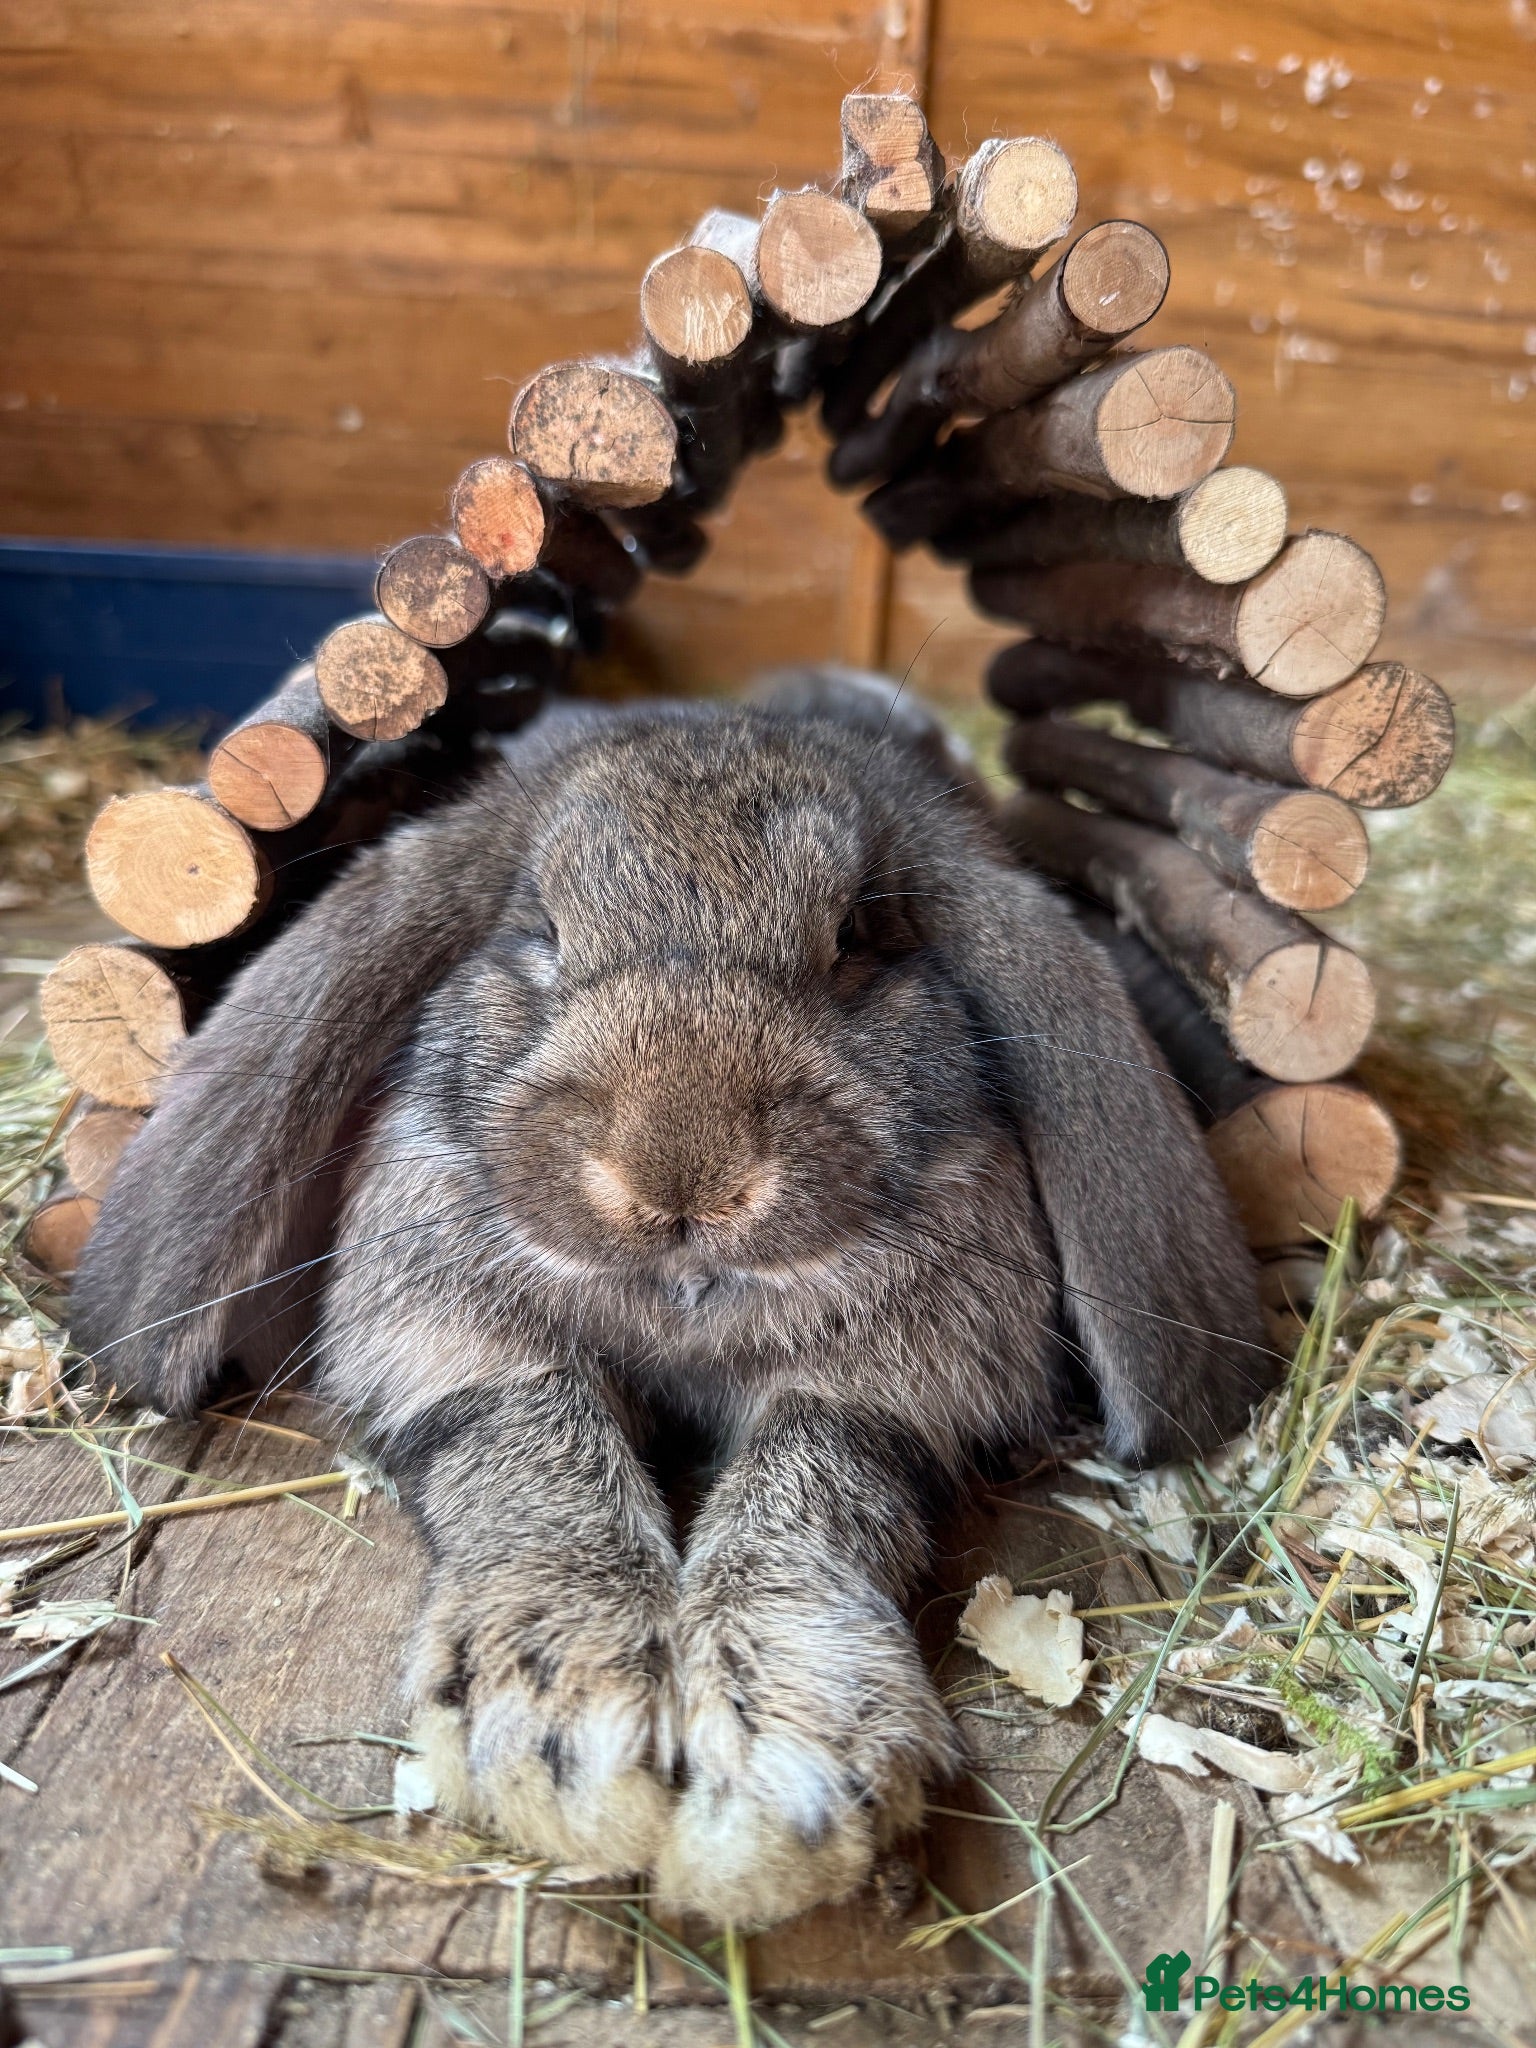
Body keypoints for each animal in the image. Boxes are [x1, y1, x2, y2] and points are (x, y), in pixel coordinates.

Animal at [72, 669, 1275, 1929]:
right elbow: (530, 1453)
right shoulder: (462, 1349)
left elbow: (812, 1495)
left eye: (855, 938)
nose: (681, 1173)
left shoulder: (882, 1392)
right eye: (542, 930)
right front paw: (566, 1731)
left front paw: (781, 1780)